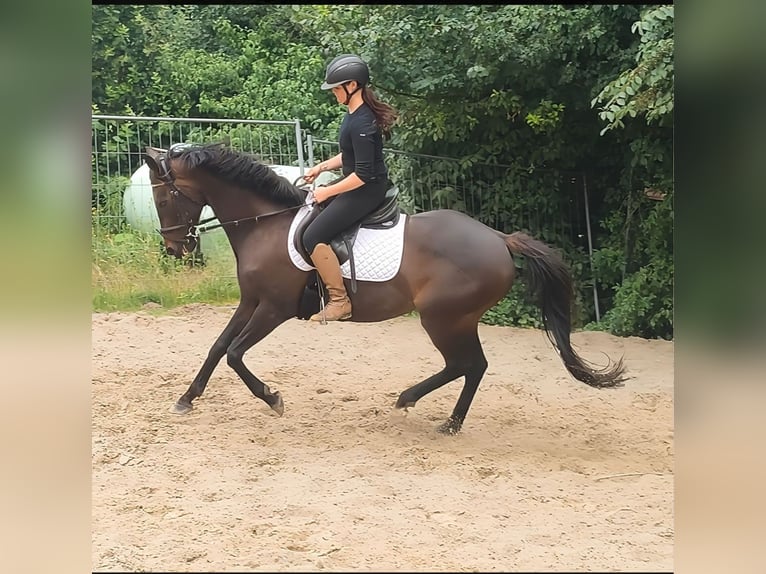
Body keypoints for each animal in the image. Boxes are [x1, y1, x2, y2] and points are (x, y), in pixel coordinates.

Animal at [143, 143, 626, 435]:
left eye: (163, 198)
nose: (174, 248)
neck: (266, 225)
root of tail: (499, 239)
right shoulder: (251, 302)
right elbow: (217, 347)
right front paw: (186, 399)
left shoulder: (274, 308)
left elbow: (235, 354)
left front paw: (272, 398)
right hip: (456, 319)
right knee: (473, 365)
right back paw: (442, 416)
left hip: (442, 318)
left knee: (467, 364)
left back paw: (424, 408)